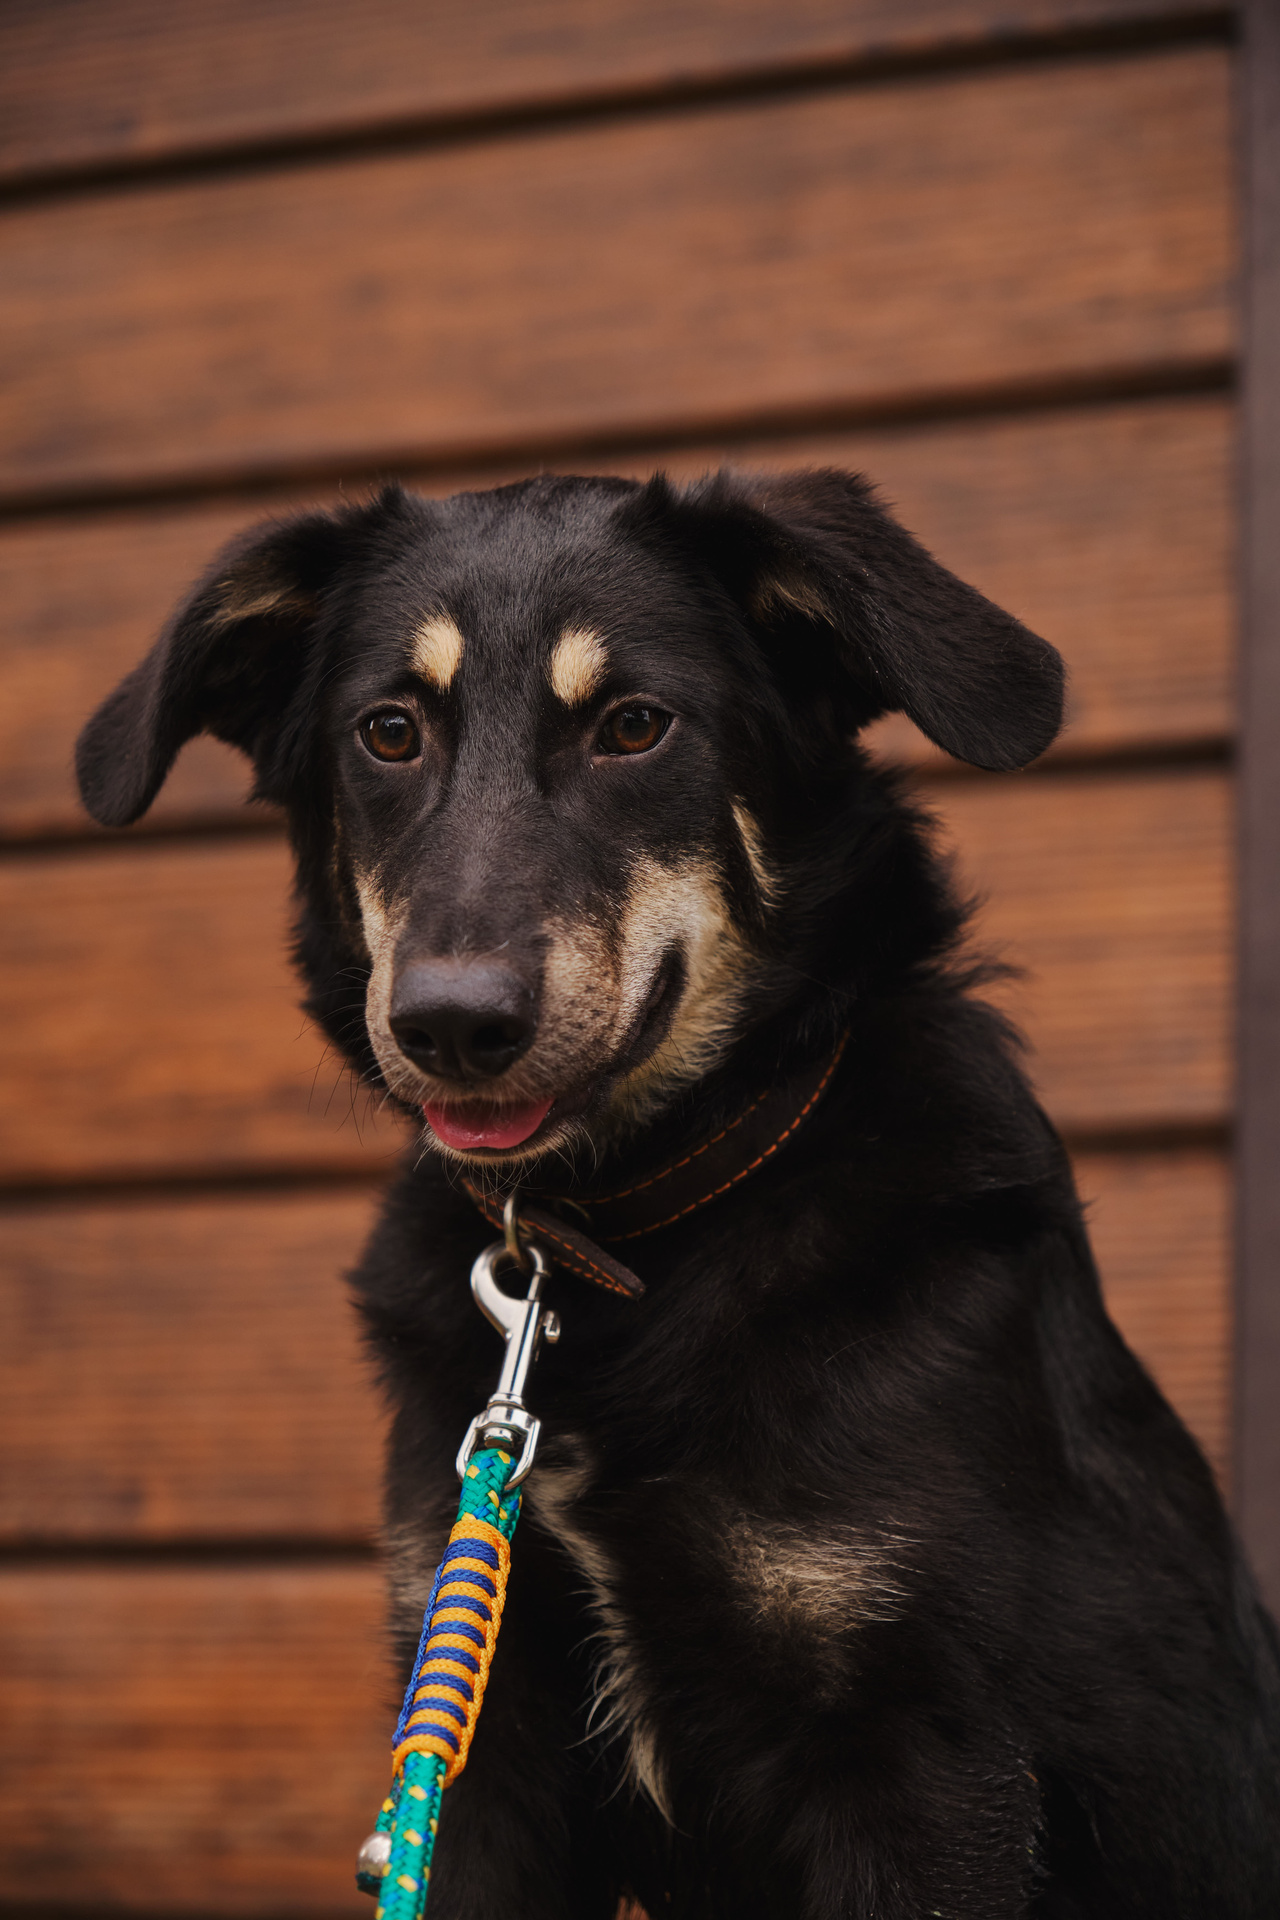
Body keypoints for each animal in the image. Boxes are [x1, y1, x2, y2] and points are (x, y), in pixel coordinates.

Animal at [77, 469, 1280, 1917]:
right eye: (389, 732)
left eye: (635, 728)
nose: (451, 1026)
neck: (615, 1240)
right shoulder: (479, 1735)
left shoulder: (932, 1766)